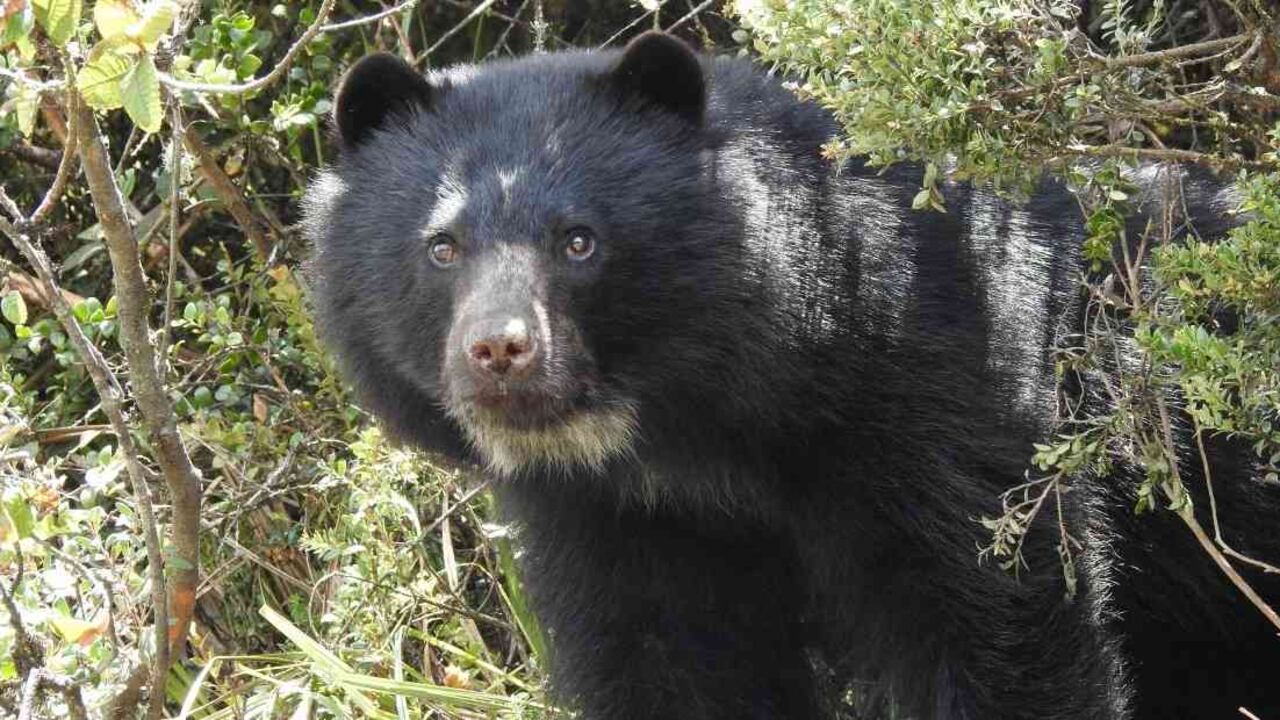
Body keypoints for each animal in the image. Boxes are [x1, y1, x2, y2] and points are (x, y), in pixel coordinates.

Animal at [302, 31, 1280, 720]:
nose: (500, 352)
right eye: (441, 248)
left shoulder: (951, 406)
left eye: (579, 241)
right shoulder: (616, 514)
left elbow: (1003, 630)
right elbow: (670, 662)